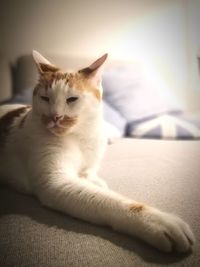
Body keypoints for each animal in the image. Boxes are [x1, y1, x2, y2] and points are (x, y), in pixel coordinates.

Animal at [0, 50, 195, 253]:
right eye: (45, 98)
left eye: (72, 99)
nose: (55, 117)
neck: (81, 136)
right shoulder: (56, 182)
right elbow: (111, 200)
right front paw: (160, 222)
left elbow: (90, 174)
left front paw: (93, 179)